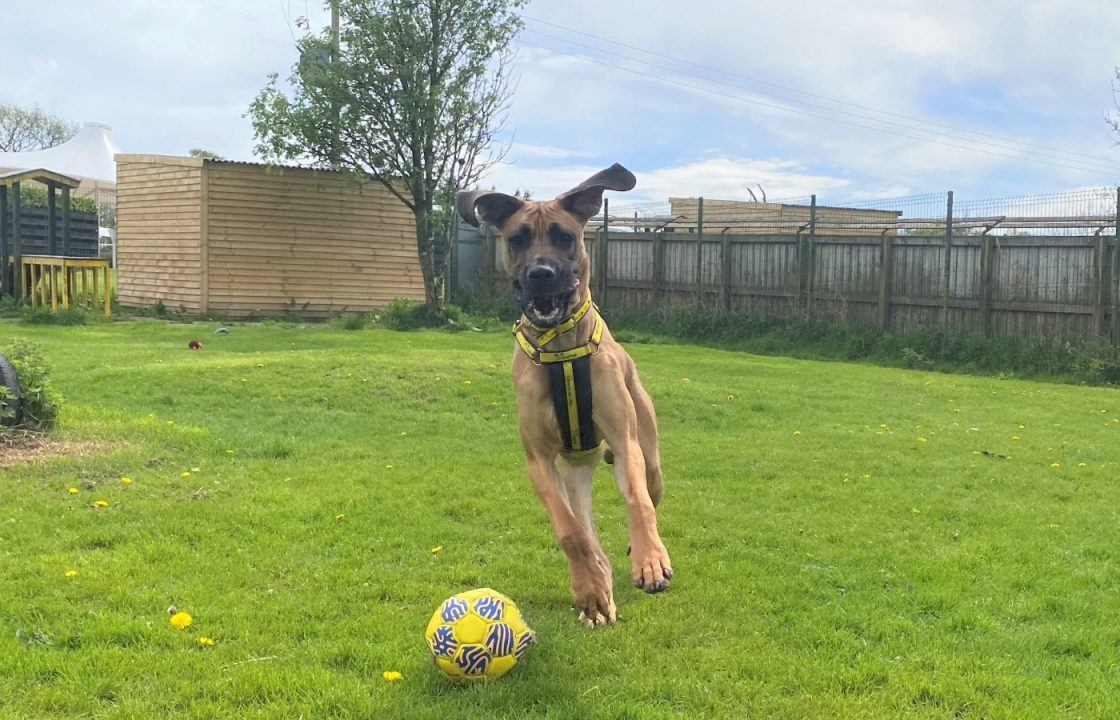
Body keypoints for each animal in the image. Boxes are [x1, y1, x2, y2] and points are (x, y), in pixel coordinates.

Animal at [456, 164, 672, 627]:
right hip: (574, 474)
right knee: (585, 526)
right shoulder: (538, 461)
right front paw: (591, 591)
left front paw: (649, 561)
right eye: (518, 238)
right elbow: (571, 531)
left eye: (564, 236)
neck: (560, 349)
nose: (541, 274)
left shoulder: (626, 443)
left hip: (649, 457)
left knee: (650, 492)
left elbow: (639, 505)